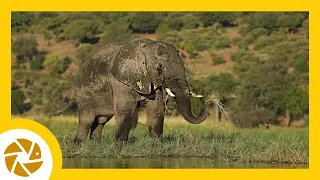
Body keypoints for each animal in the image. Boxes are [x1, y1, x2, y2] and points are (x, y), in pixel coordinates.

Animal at [64, 38, 211, 143]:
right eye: (160, 67)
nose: (209, 100)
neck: (148, 47)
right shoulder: (119, 80)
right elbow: (126, 109)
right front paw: (120, 145)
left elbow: (156, 108)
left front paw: (156, 143)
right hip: (82, 91)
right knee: (87, 119)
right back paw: (79, 143)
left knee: (102, 120)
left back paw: (96, 144)